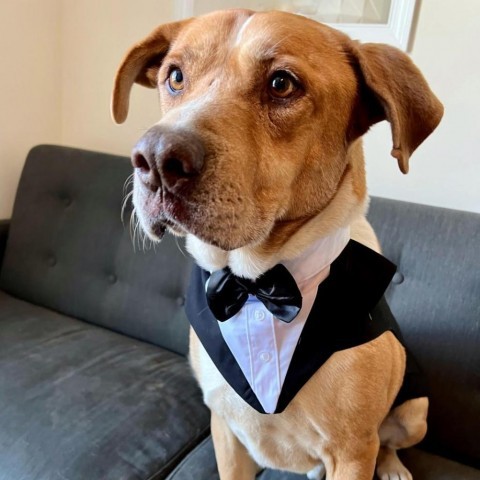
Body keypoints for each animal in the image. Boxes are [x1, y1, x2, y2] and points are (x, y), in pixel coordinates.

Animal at [111, 8, 442, 480]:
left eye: (282, 83)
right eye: (175, 76)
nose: (154, 160)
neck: (256, 281)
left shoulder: (353, 451)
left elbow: (369, 444)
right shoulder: (224, 427)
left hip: (416, 411)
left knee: (391, 441)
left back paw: (393, 465)